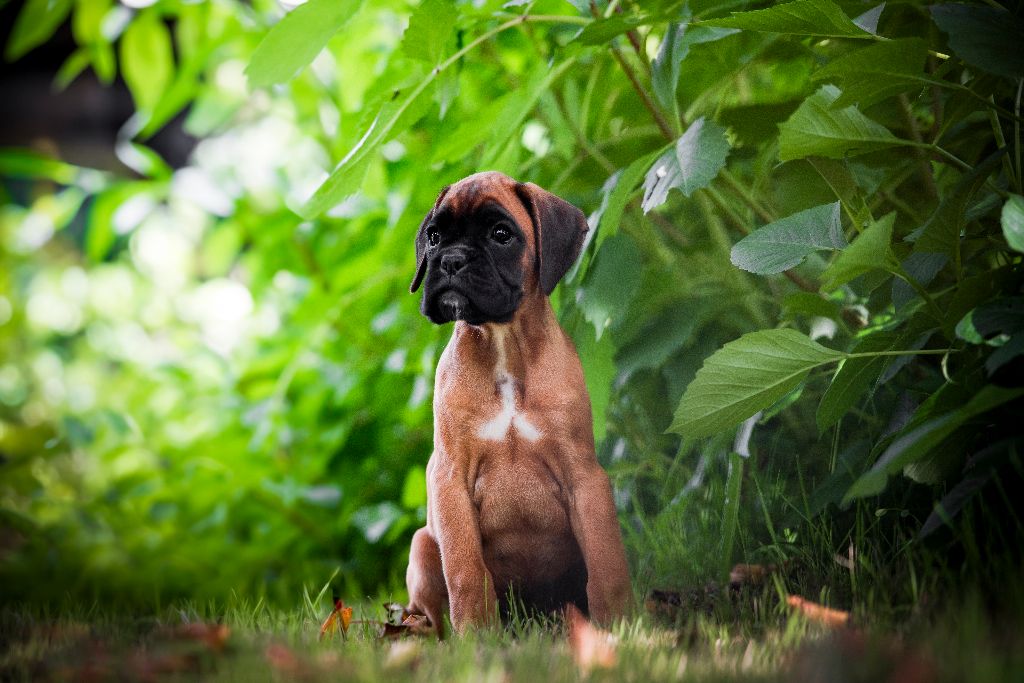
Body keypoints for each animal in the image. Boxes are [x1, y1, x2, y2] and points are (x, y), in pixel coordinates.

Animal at [405, 169, 630, 634]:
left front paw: (622, 625)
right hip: (421, 546)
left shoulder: (584, 477)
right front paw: (476, 635)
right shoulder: (450, 480)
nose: (450, 260)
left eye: (501, 234)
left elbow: (607, 562)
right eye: (434, 236)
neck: (502, 343)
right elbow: (465, 571)